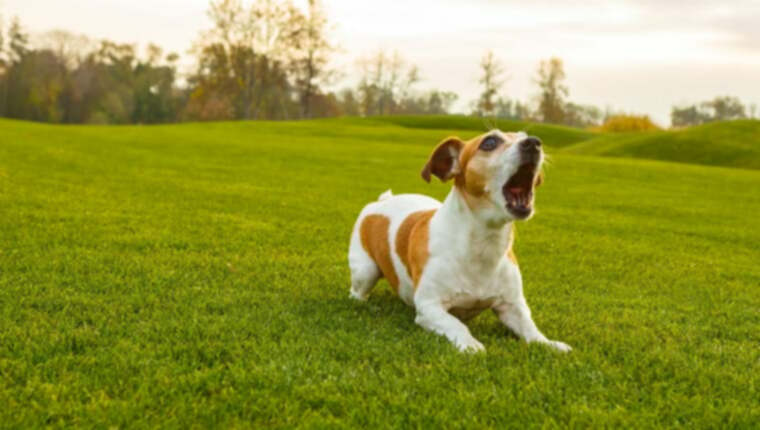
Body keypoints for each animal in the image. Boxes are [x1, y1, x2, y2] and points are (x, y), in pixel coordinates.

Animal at [346, 131, 568, 352]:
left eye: (525, 135)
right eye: (490, 142)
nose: (534, 143)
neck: (484, 244)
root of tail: (380, 202)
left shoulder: (512, 306)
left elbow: (530, 329)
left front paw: (548, 344)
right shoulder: (430, 307)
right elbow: (456, 324)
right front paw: (471, 344)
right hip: (365, 271)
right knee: (357, 292)